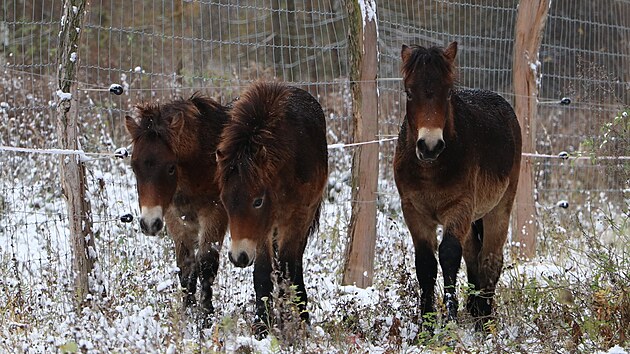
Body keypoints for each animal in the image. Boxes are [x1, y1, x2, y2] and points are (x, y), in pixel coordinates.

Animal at [124, 94, 231, 320]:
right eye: (134, 167)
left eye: (171, 167)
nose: (149, 224)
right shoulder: (176, 219)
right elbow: (186, 264)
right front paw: (187, 311)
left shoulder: (215, 215)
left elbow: (206, 264)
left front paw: (205, 317)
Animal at [216, 81, 328, 338]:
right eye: (225, 201)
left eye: (257, 201)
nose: (238, 256)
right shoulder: (261, 230)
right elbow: (262, 274)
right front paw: (261, 327)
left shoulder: (296, 220)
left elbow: (288, 271)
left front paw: (290, 326)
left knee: (294, 266)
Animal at [396, 42, 524, 332]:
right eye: (409, 91)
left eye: (448, 92)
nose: (430, 146)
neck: (431, 169)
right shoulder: (414, 212)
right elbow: (426, 264)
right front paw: (426, 328)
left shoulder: (459, 208)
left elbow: (449, 255)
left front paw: (450, 320)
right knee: (475, 256)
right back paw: (476, 311)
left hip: (498, 208)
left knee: (490, 260)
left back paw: (485, 321)